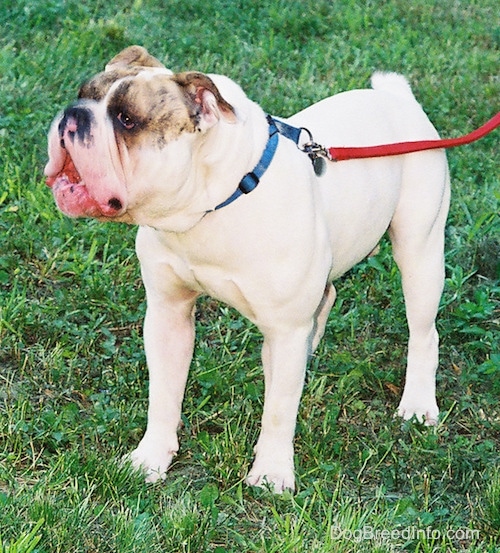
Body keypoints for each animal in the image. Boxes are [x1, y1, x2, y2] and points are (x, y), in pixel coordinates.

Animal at [45, 45, 450, 490]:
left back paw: (417, 404)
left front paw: (271, 474)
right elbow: (163, 395)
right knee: (326, 296)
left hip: (420, 251)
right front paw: (150, 458)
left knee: (423, 332)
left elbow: (278, 411)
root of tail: (398, 99)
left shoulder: (284, 328)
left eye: (126, 120)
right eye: (82, 93)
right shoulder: (168, 315)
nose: (72, 115)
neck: (216, 201)